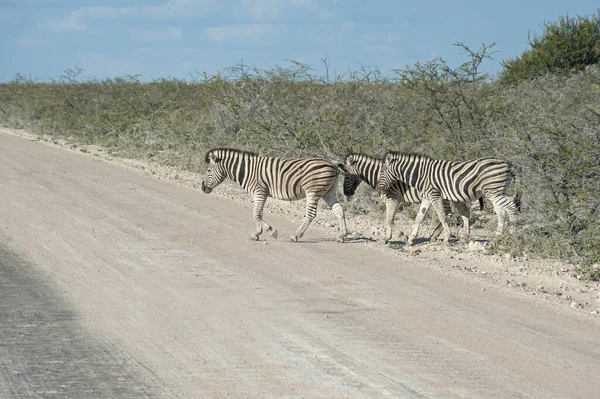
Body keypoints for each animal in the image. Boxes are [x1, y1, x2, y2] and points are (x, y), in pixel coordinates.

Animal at [200, 149, 346, 244]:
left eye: (208, 170)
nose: (203, 188)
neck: (246, 171)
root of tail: (333, 164)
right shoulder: (260, 194)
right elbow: (259, 214)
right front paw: (256, 234)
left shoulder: (259, 191)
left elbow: (256, 214)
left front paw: (271, 231)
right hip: (328, 192)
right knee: (339, 210)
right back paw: (342, 235)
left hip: (313, 192)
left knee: (311, 215)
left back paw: (295, 236)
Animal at [340, 154, 480, 244]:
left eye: (347, 176)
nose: (346, 193)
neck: (379, 176)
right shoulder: (389, 201)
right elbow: (387, 219)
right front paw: (386, 238)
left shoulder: (393, 199)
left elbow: (389, 220)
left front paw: (402, 237)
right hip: (454, 197)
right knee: (461, 212)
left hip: (445, 196)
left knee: (449, 213)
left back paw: (438, 235)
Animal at [378, 153, 516, 245]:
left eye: (383, 170)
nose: (379, 189)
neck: (421, 175)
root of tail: (507, 163)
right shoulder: (427, 196)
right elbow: (419, 217)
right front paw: (411, 239)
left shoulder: (434, 194)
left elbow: (442, 215)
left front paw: (446, 237)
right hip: (497, 192)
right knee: (501, 212)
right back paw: (497, 236)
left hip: (494, 191)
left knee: (511, 206)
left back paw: (513, 233)